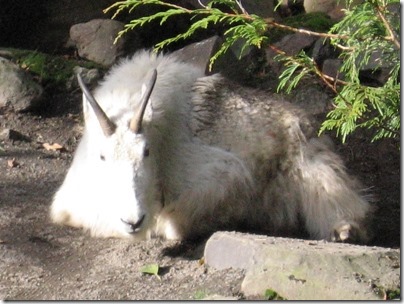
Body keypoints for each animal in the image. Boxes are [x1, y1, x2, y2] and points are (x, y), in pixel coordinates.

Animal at [50, 51, 372, 243]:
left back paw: (344, 231)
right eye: (102, 157)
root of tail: (305, 124)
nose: (133, 220)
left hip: (314, 171)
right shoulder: (69, 203)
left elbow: (174, 225)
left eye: (146, 152)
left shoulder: (222, 177)